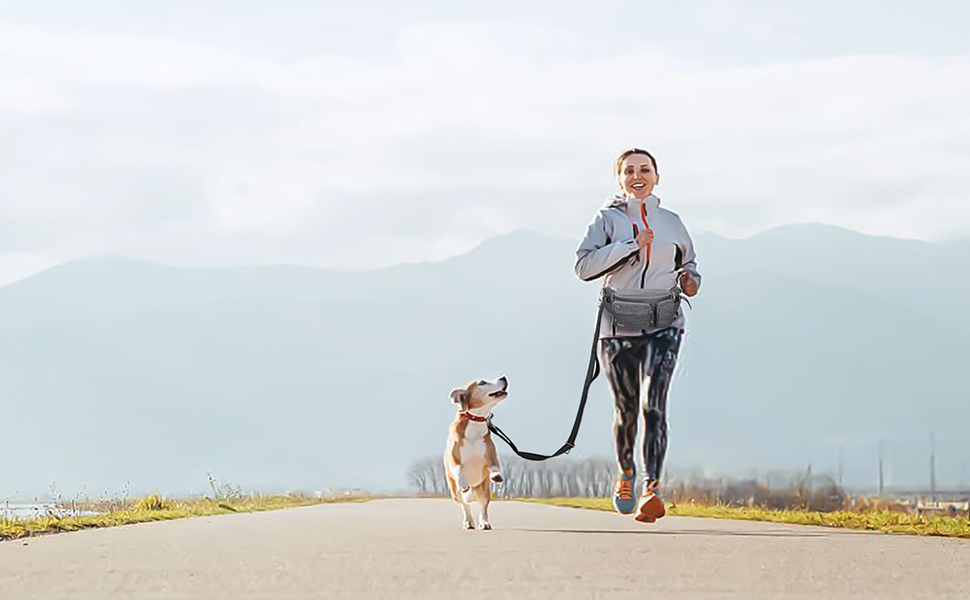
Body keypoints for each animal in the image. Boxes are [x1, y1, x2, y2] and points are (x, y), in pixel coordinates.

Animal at [444, 376, 510, 528]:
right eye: (482, 383)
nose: (503, 377)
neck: (475, 421)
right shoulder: (454, 459)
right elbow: (458, 469)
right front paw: (463, 481)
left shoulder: (490, 454)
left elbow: (494, 465)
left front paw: (496, 475)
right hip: (455, 493)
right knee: (465, 505)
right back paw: (468, 522)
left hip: (484, 490)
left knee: (483, 506)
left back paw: (484, 523)